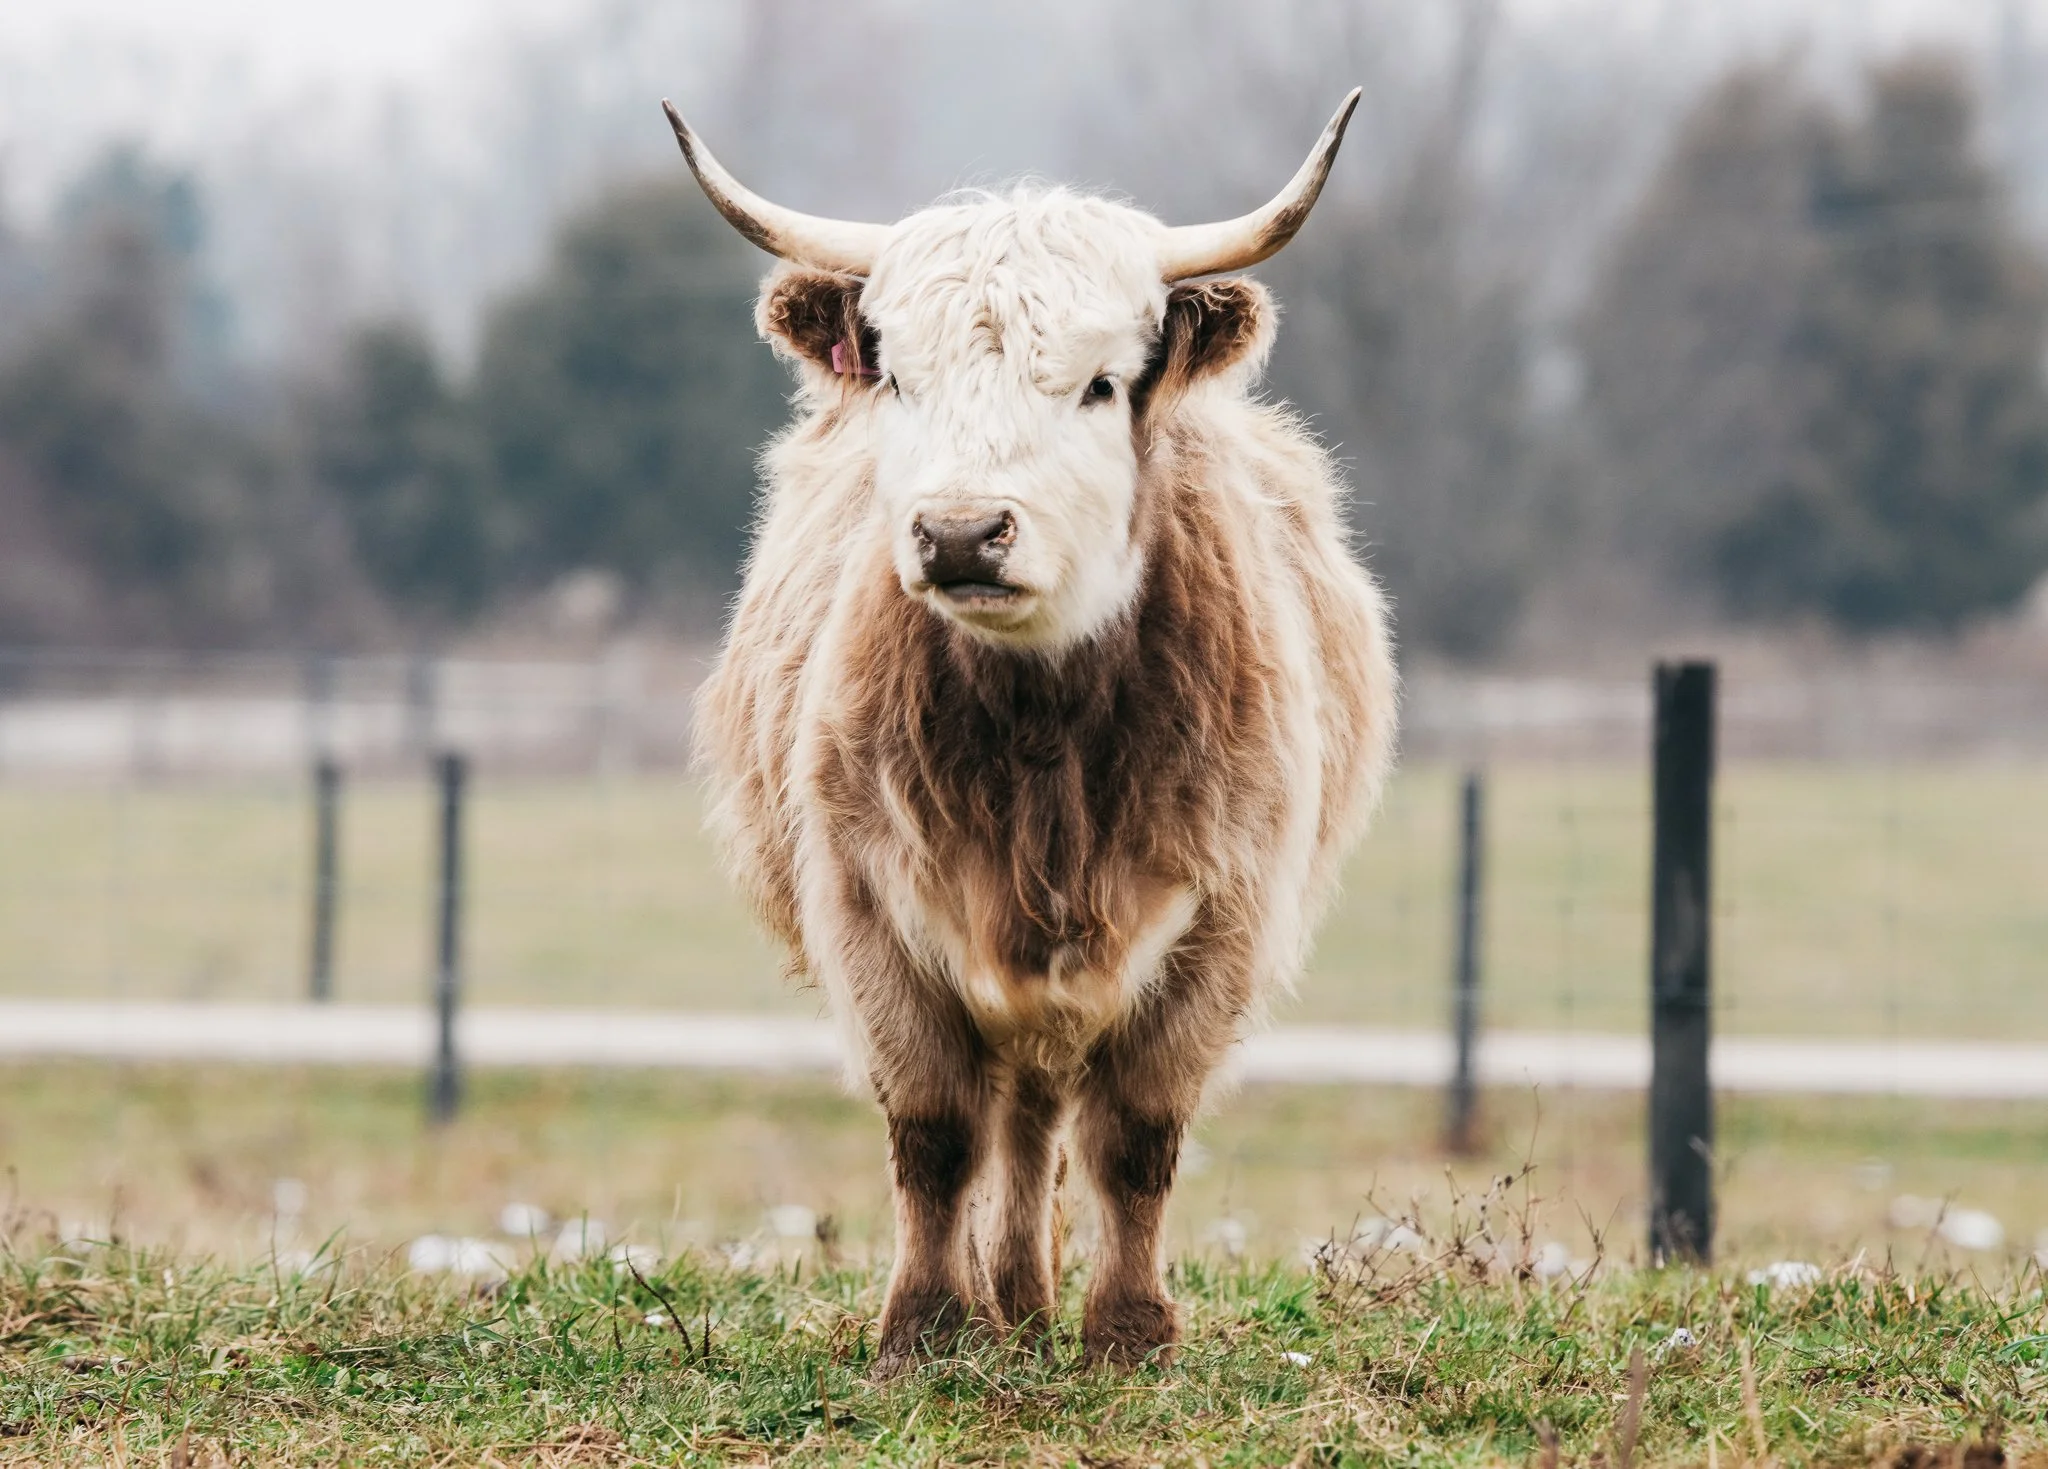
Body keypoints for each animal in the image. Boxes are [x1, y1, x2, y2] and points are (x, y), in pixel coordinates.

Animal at [674, 91, 1397, 1373]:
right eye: (898, 379)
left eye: (1100, 384)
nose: (962, 532)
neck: (1042, 754)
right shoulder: (866, 905)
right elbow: (932, 1131)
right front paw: (922, 1327)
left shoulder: (1222, 915)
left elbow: (1136, 1136)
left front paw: (1128, 1332)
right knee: (1009, 1115)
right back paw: (1002, 1302)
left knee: (1042, 1114)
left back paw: (1028, 1299)